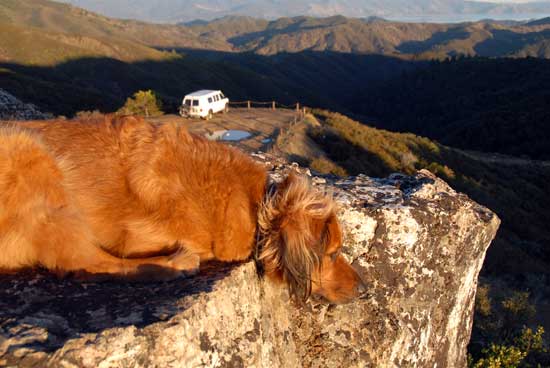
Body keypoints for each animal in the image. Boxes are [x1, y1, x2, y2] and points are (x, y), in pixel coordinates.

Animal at [2, 115, 368, 302]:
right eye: (333, 253)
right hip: (29, 153)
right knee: (82, 260)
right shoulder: (137, 236)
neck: (254, 204)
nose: (366, 290)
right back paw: (175, 263)